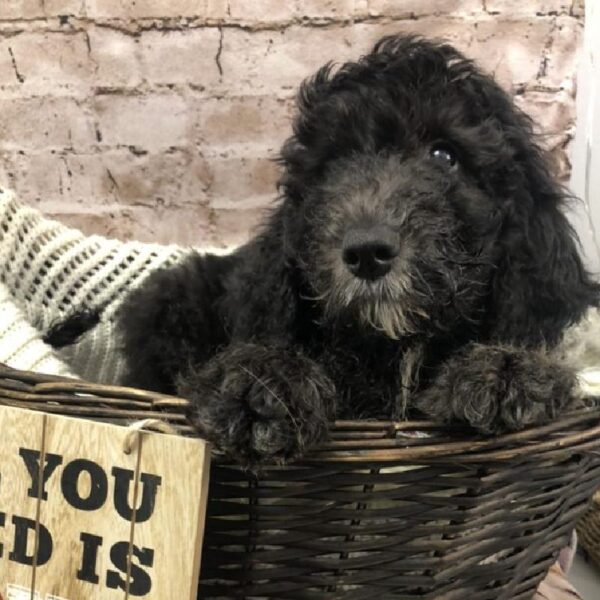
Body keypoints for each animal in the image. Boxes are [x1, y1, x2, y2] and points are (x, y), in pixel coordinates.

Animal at [118, 36, 600, 468]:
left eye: (445, 156)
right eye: (333, 165)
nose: (367, 252)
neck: (397, 344)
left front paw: (508, 370)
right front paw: (261, 383)